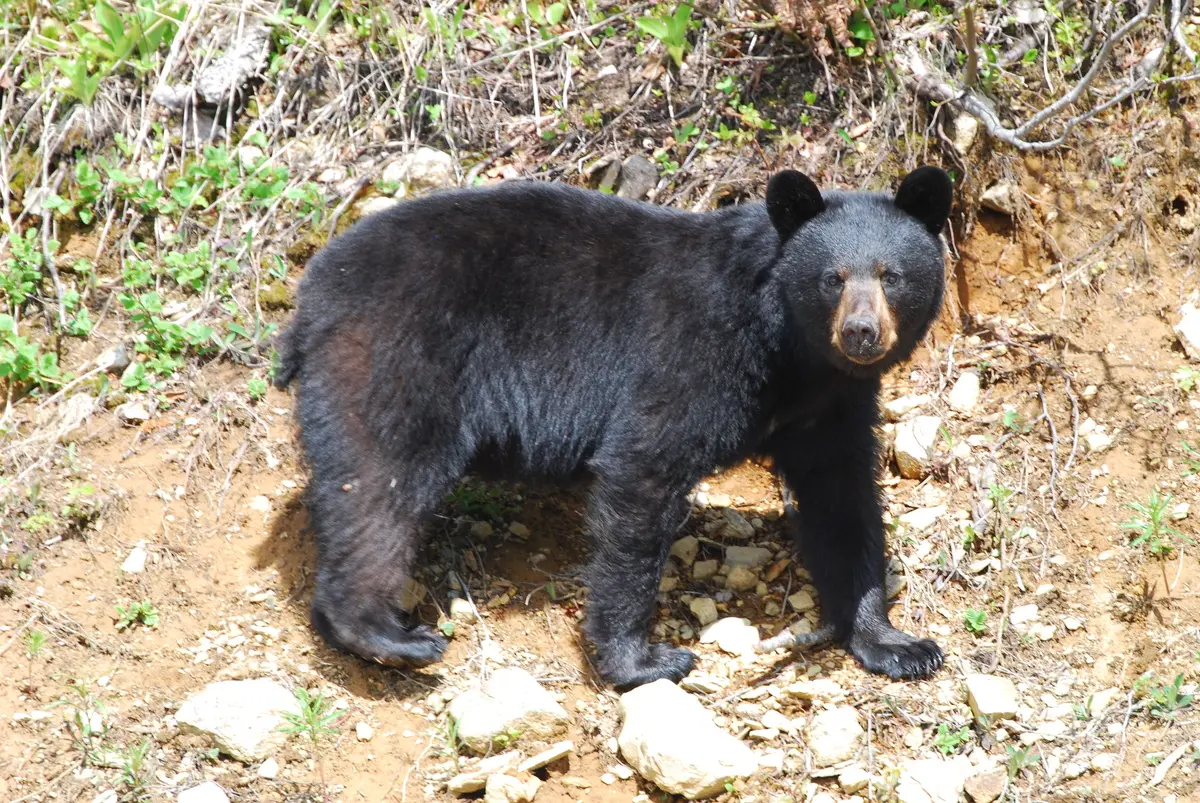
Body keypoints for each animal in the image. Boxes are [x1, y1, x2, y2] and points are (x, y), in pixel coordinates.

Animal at [274, 164, 955, 691]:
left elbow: (842, 501)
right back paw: (387, 634)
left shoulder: (831, 406)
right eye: (832, 278)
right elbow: (644, 471)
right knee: (380, 483)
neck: (792, 353)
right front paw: (644, 661)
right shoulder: (695, 353)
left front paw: (896, 643)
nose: (861, 333)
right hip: (397, 354)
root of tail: (311, 297)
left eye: (891, 274)